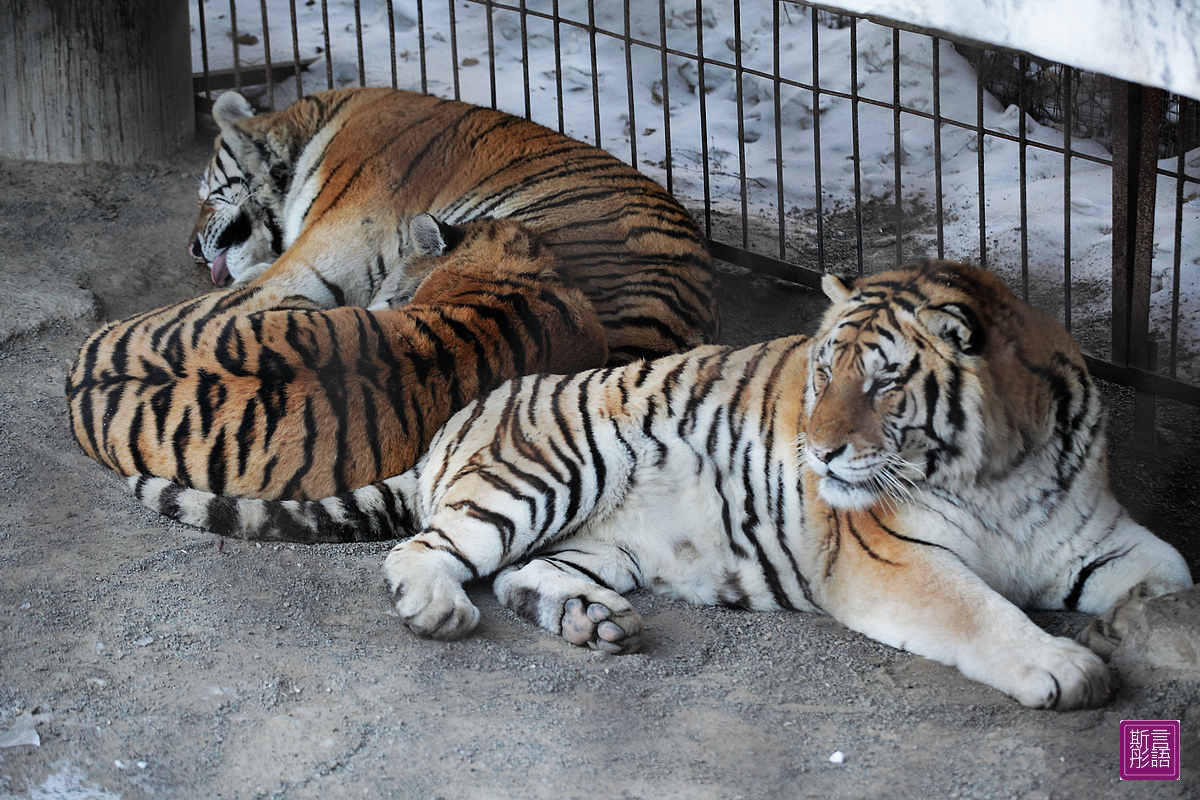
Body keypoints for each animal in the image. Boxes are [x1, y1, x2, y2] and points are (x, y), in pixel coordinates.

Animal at [126, 261, 1195, 705]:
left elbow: (1171, 579)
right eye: (824, 371)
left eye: (886, 379)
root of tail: (454, 426)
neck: (999, 466)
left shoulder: (1103, 538)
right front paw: (1065, 668)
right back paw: (438, 610)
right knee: (427, 550)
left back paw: (594, 626)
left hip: (595, 544)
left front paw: (1158, 632)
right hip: (541, 475)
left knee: (527, 576)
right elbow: (984, 613)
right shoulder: (894, 558)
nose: (818, 455)